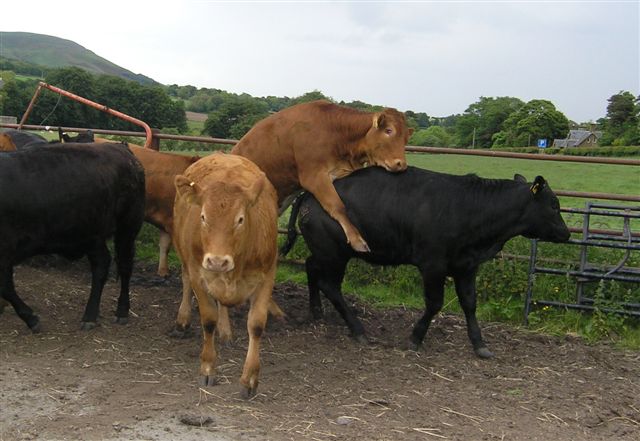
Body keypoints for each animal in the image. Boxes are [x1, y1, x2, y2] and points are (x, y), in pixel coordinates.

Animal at [0, 143, 146, 332]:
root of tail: (121, 148)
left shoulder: (5, 251)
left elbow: (6, 287)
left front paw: (31, 318)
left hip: (127, 228)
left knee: (124, 266)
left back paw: (117, 312)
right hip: (93, 237)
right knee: (102, 265)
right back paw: (93, 313)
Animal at [171, 151, 278, 396]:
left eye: (240, 219)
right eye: (203, 217)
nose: (218, 261)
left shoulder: (267, 275)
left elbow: (256, 324)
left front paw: (249, 379)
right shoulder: (198, 273)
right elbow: (208, 319)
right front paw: (208, 368)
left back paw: (225, 330)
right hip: (184, 256)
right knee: (185, 282)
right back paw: (183, 318)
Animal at [232, 99, 412, 251]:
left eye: (405, 138)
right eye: (389, 131)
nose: (401, 164)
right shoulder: (313, 177)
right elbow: (337, 205)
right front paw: (357, 240)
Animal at [282, 167, 572, 356]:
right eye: (554, 205)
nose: (567, 233)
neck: (470, 207)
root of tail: (308, 195)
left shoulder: (467, 266)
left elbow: (470, 303)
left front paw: (479, 344)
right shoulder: (433, 265)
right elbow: (434, 304)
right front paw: (415, 337)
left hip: (325, 253)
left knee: (311, 268)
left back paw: (317, 311)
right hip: (335, 254)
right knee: (330, 286)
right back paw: (358, 329)